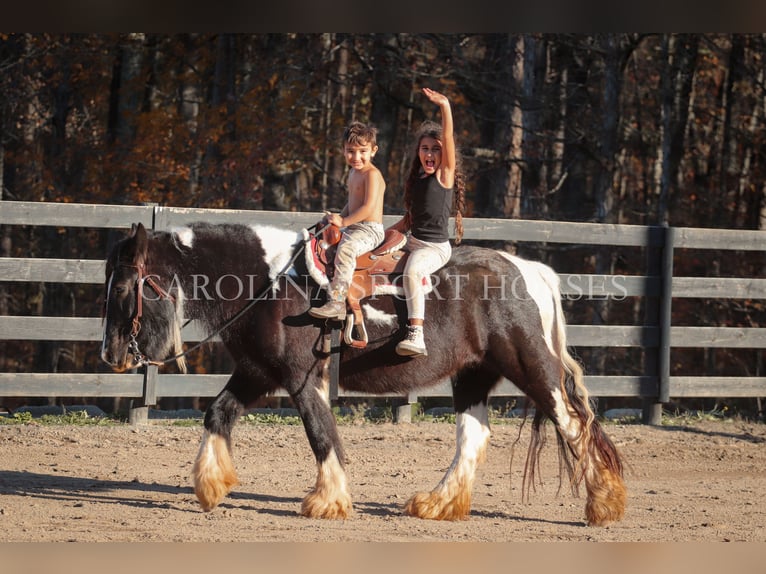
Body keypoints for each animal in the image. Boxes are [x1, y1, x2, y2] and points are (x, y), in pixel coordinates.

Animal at [102, 223, 628, 528]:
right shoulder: (257, 372)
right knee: (473, 437)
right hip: (473, 375)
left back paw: (603, 505)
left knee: (573, 423)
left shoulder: (301, 377)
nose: (111, 354)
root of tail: (530, 270)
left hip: (530, 366)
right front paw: (211, 486)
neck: (268, 282)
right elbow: (217, 413)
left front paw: (329, 501)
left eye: (125, 286)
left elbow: (320, 432)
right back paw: (438, 504)